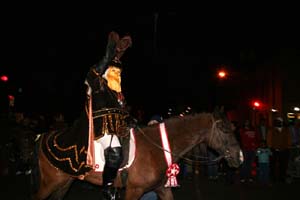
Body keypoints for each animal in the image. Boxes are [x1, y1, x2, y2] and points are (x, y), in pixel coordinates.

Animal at [30, 107, 243, 199]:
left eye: (233, 128)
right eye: (224, 129)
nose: (239, 157)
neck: (156, 148)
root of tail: (45, 136)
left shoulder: (161, 189)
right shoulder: (134, 190)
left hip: (65, 182)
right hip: (51, 182)